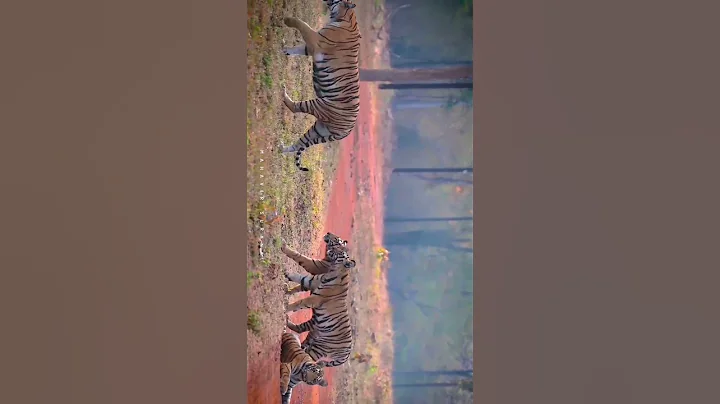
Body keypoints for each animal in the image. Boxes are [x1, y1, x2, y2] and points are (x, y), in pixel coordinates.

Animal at [279, 0, 362, 171]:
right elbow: (296, 49)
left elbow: (302, 24)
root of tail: (347, 130)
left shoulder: (316, 41)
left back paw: (283, 93)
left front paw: (287, 20)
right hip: (318, 130)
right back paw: (280, 148)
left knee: (295, 108)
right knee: (298, 145)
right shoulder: (310, 46)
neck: (346, 17)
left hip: (318, 104)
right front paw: (284, 50)